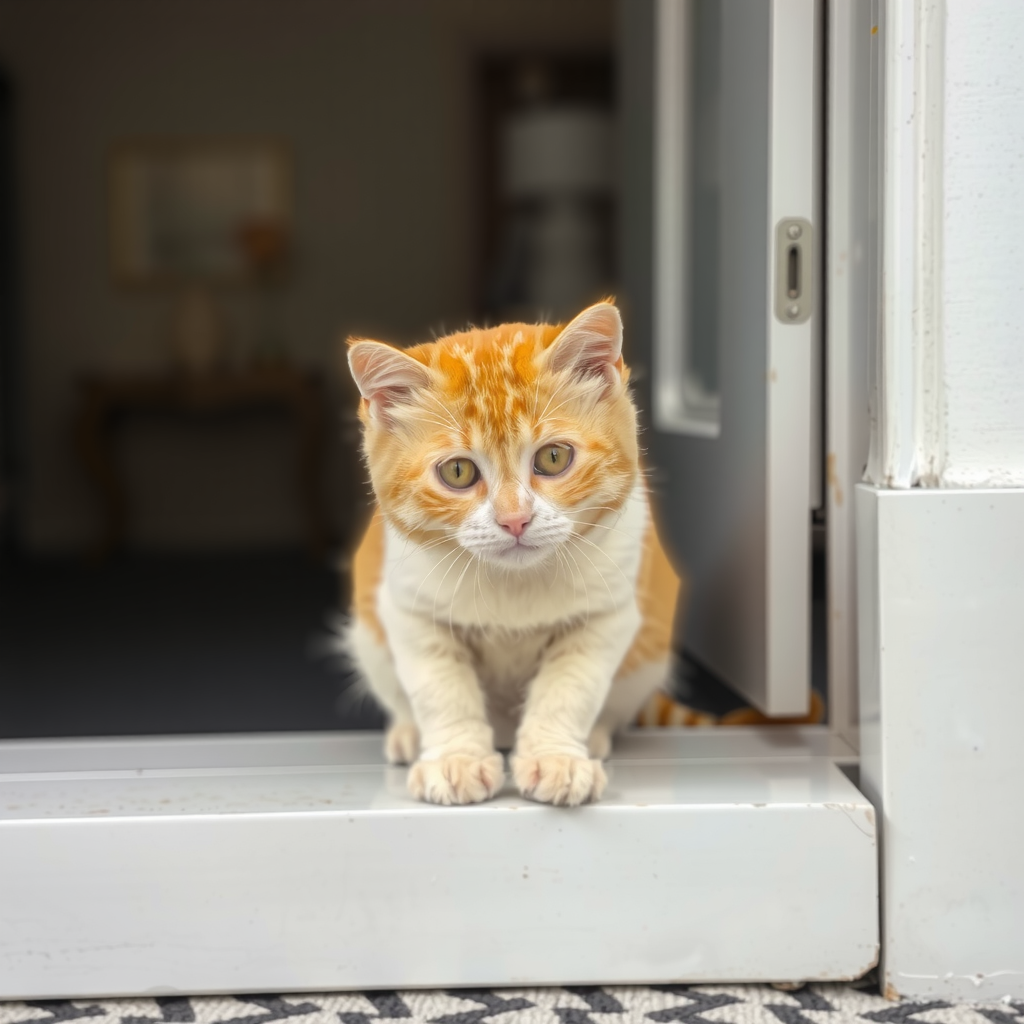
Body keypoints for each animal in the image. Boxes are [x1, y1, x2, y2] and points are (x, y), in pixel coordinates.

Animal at [339, 299, 684, 802]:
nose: (514, 519)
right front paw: (456, 760)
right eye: (458, 471)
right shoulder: (408, 608)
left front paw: (557, 758)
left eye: (554, 458)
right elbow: (441, 690)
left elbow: (570, 689)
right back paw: (406, 734)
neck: (514, 585)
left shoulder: (609, 612)